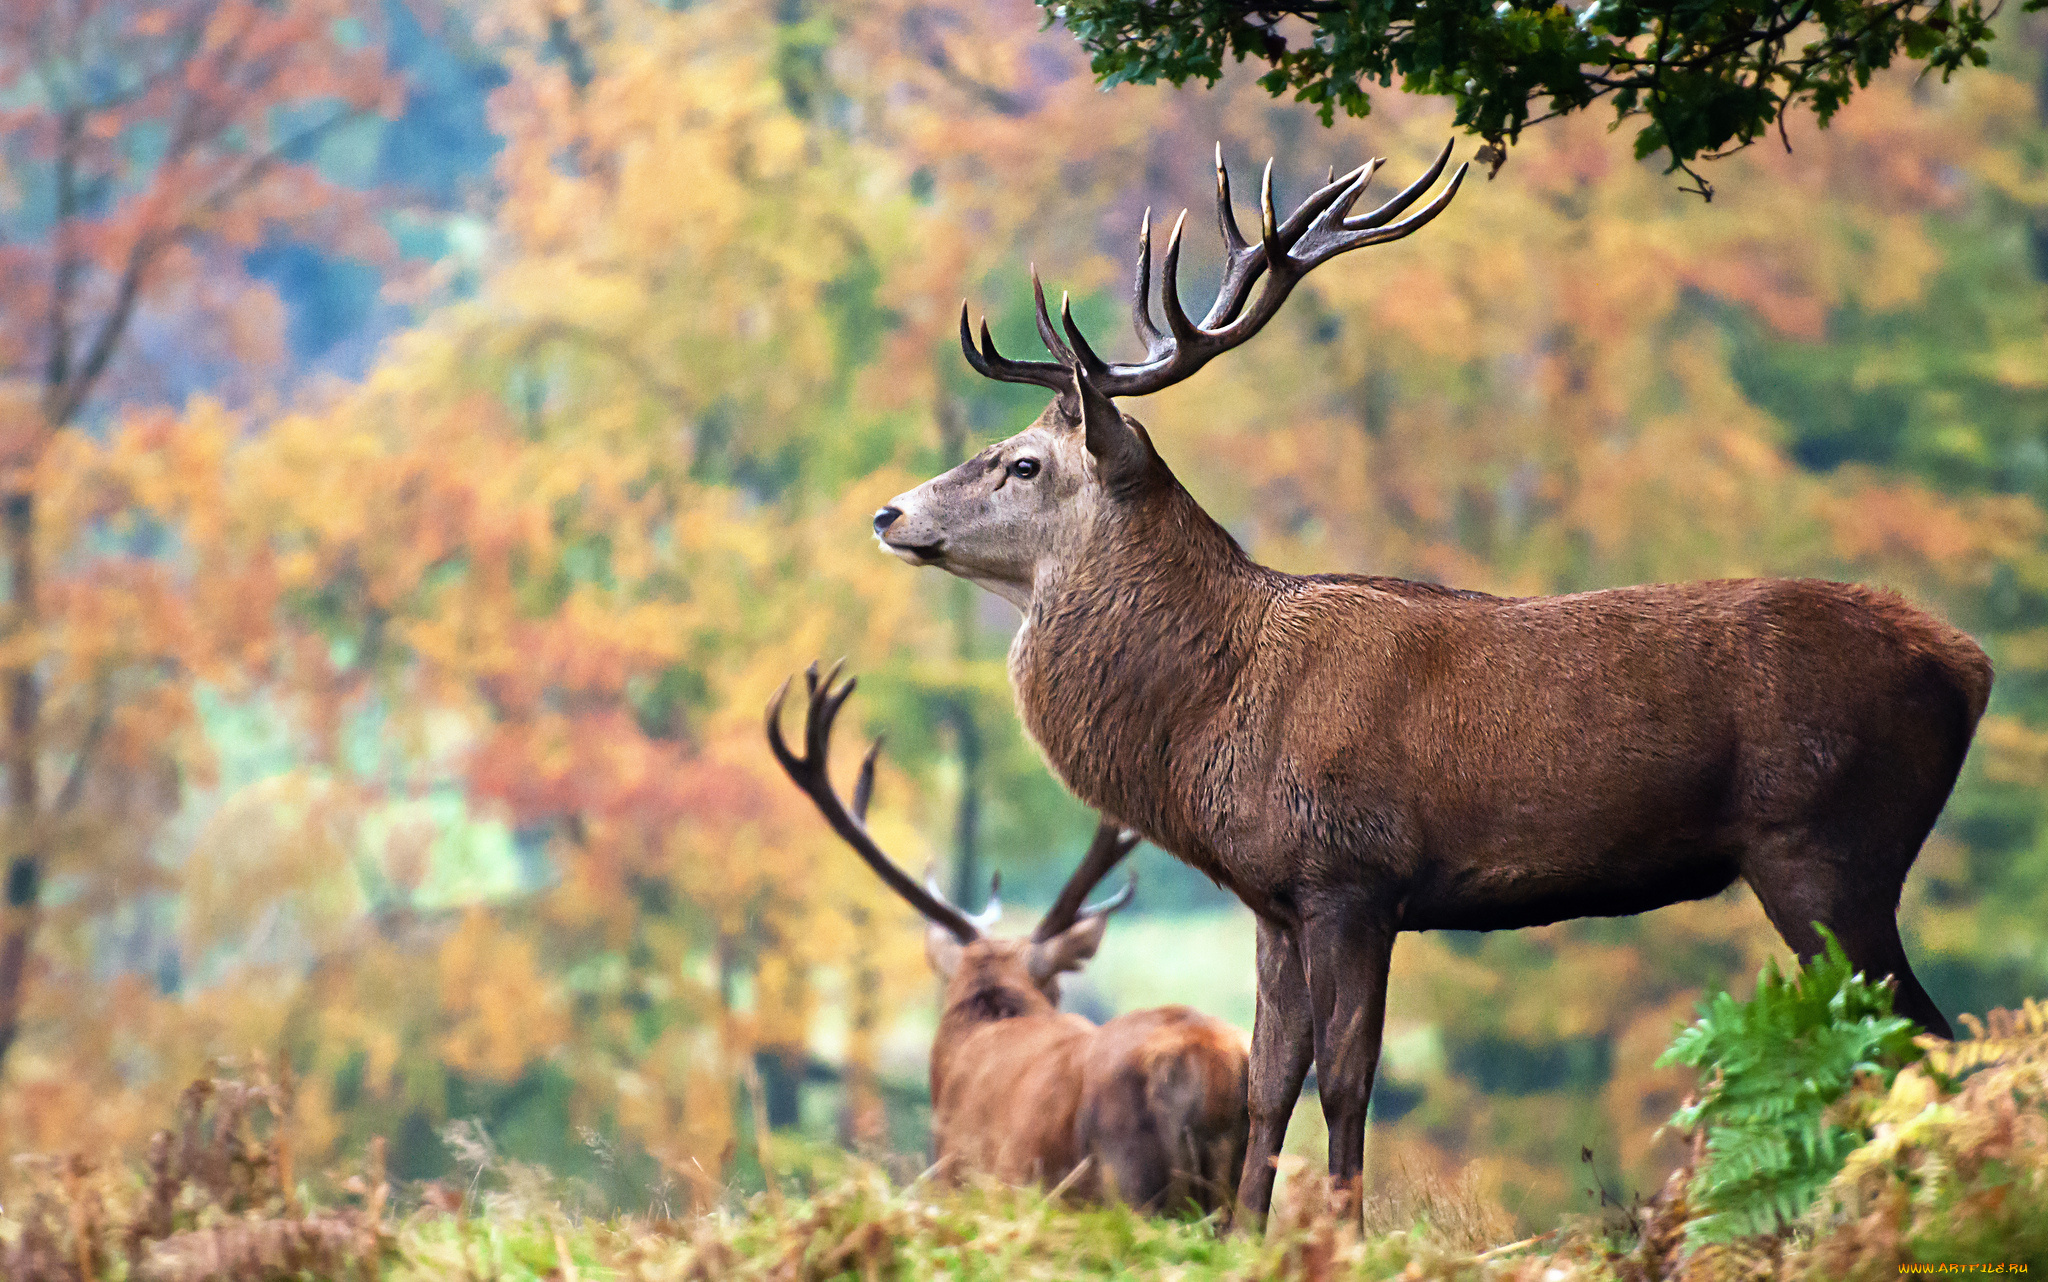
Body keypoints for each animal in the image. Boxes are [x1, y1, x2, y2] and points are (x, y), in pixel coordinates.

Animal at [872, 139, 1990, 1220]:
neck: (1213, 715)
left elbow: (1343, 1081)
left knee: (1922, 1033)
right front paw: (1246, 1237)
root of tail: (1969, 664)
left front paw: (1344, 1234)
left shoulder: (1353, 875)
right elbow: (1268, 1083)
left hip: (1825, 844)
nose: (888, 512)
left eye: (1022, 463)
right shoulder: (1273, 900)